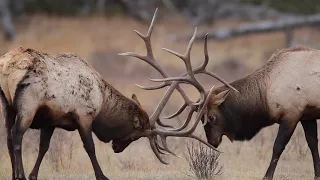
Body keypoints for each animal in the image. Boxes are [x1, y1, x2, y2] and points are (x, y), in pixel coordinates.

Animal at [0, 8, 235, 180]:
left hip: (7, 105)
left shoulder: (52, 119)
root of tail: (9, 66)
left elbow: (43, 148)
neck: (102, 100)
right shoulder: (84, 115)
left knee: (9, 140)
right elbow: (90, 147)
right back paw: (19, 175)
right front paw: (102, 176)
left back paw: (15, 174)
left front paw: (33, 175)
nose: (116, 148)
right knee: (16, 136)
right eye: (136, 133)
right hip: (27, 104)